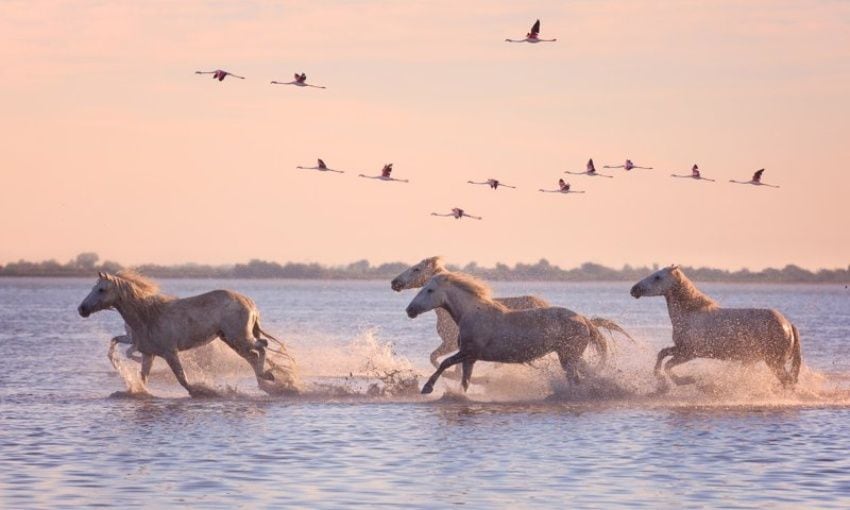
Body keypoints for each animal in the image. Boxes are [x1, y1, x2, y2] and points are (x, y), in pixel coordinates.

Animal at [78, 270, 294, 398]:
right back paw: (268, 383)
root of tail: (249, 302)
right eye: (93, 287)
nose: (82, 309)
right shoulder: (148, 353)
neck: (147, 316)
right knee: (254, 356)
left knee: (262, 346)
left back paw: (269, 377)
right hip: (232, 340)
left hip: (239, 338)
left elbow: (182, 379)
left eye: (101, 289)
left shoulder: (170, 353)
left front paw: (202, 392)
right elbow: (141, 375)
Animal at [628, 264, 800, 388]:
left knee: (788, 382)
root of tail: (788, 325)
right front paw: (661, 380)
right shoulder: (680, 348)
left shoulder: (689, 353)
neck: (690, 314)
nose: (634, 289)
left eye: (657, 277)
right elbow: (662, 354)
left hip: (774, 362)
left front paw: (686, 380)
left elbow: (668, 365)